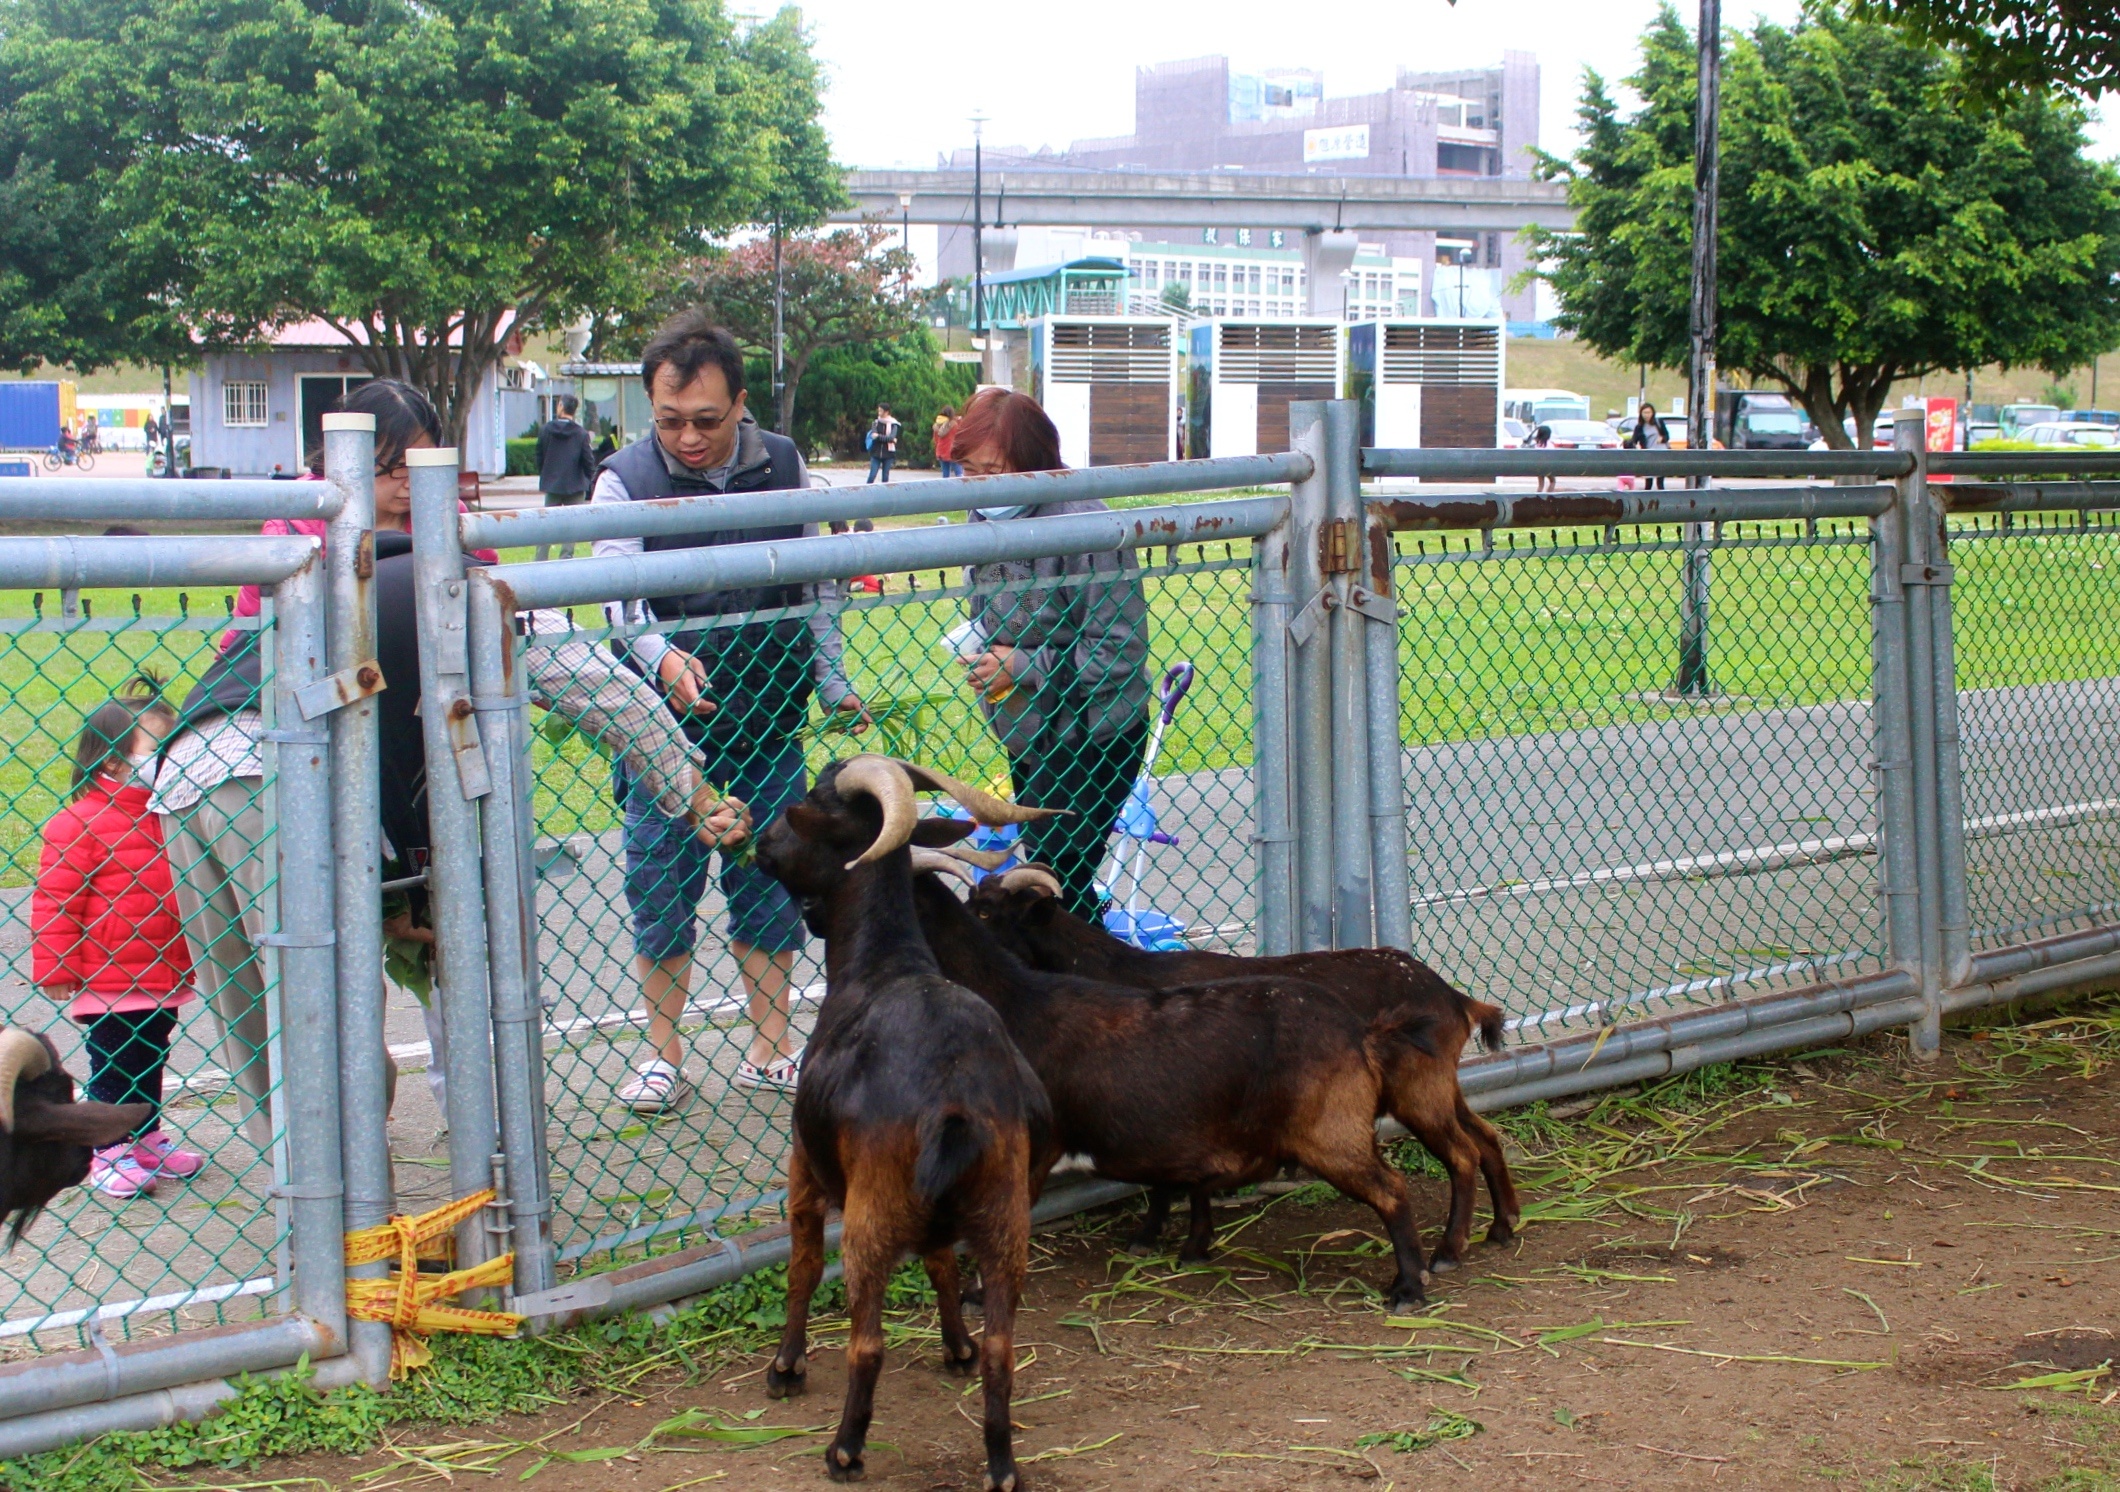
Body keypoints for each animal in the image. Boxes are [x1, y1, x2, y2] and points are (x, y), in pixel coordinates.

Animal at [754, 758, 1068, 1492]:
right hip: (1005, 1217)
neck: (883, 962)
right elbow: (940, 1264)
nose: (757, 841)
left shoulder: (805, 1165)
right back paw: (1001, 1465)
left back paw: (844, 1450)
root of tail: (955, 1101)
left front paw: (785, 1367)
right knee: (1003, 1346)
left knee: (866, 1342)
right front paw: (955, 1347)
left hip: (870, 1216)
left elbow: (801, 1265)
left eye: (809, 804)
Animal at [903, 864, 1433, 1305]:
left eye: (987, 910)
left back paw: (1411, 1285)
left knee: (1394, 1188)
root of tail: (1362, 1033)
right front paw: (1189, 1243)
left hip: (1340, 1128)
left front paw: (1151, 1238)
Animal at [970, 873, 1517, 1271]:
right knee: (1485, 1135)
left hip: (1418, 1090)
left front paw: (1151, 1237)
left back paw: (1448, 1252)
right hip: (1438, 1086)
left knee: (1462, 1154)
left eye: (985, 911)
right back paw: (1503, 1226)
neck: (1116, 972)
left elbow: (1169, 1178)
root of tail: (1453, 997)